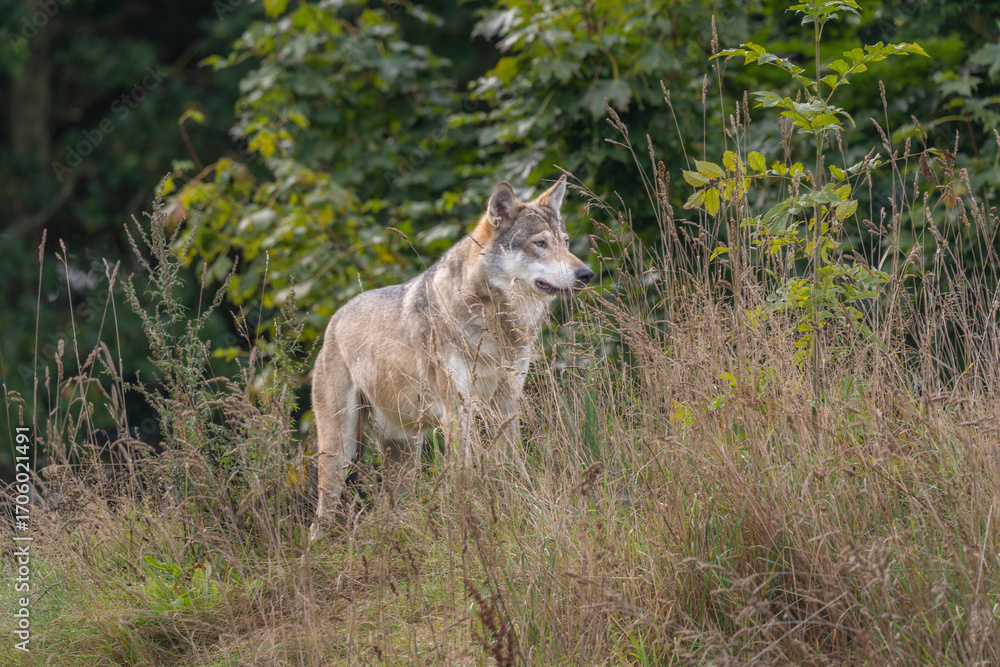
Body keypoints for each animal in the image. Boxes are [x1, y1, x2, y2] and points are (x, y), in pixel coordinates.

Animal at [310, 175, 592, 537]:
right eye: (540, 243)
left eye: (566, 242)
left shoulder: (506, 405)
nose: (586, 274)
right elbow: (463, 476)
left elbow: (510, 464)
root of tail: (334, 318)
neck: (495, 322)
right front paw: (469, 523)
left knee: (391, 507)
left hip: (404, 449)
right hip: (341, 451)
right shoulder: (457, 412)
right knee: (319, 518)